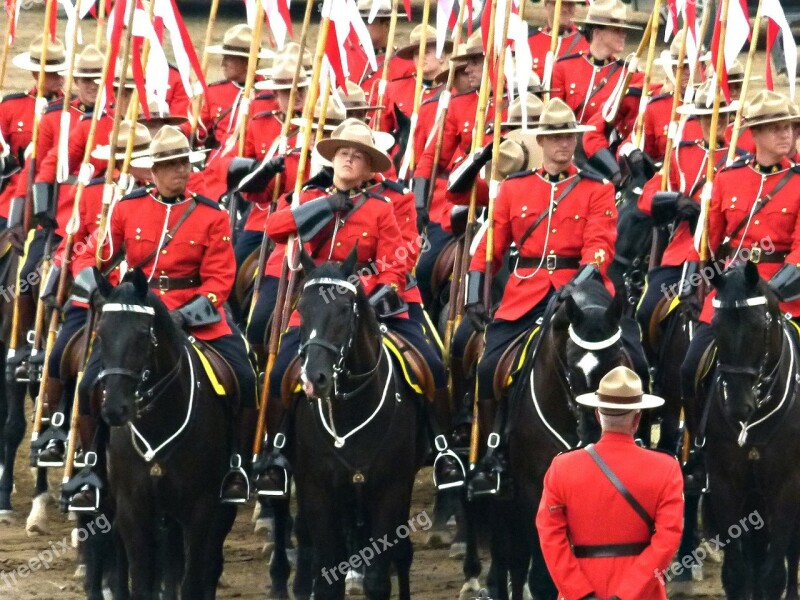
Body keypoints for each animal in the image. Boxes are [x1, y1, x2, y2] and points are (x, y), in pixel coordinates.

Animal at [91, 270, 234, 600]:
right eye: (100, 334)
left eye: (143, 335)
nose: (115, 409)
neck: (159, 423)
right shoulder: (132, 509)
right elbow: (142, 581)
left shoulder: (200, 509)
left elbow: (192, 580)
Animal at [290, 251, 428, 600]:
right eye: (301, 308)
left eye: (343, 309)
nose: (314, 379)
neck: (350, 410)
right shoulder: (317, 491)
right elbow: (329, 578)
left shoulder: (390, 489)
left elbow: (378, 579)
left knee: (402, 554)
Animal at [700, 262, 800, 600]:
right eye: (716, 327)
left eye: (758, 326)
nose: (737, 406)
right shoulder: (724, 482)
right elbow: (737, 573)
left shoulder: (787, 485)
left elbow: (774, 575)